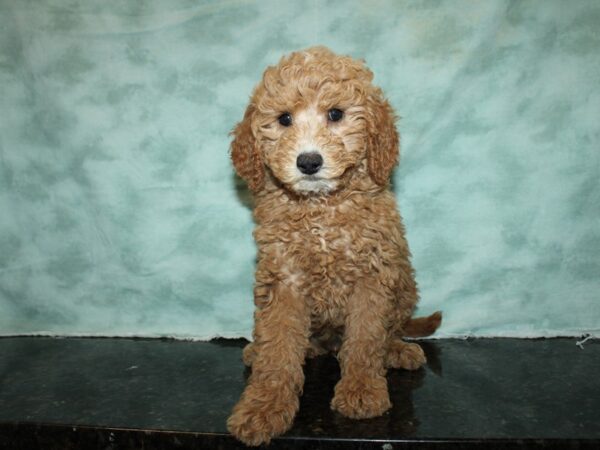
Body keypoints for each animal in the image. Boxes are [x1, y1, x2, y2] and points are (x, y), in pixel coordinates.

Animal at [227, 46, 438, 446]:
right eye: (284, 119)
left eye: (336, 114)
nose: (309, 161)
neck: (321, 209)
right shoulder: (284, 280)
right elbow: (277, 349)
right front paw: (263, 408)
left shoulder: (373, 275)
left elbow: (366, 339)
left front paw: (362, 390)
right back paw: (267, 349)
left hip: (404, 282)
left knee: (392, 328)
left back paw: (397, 349)